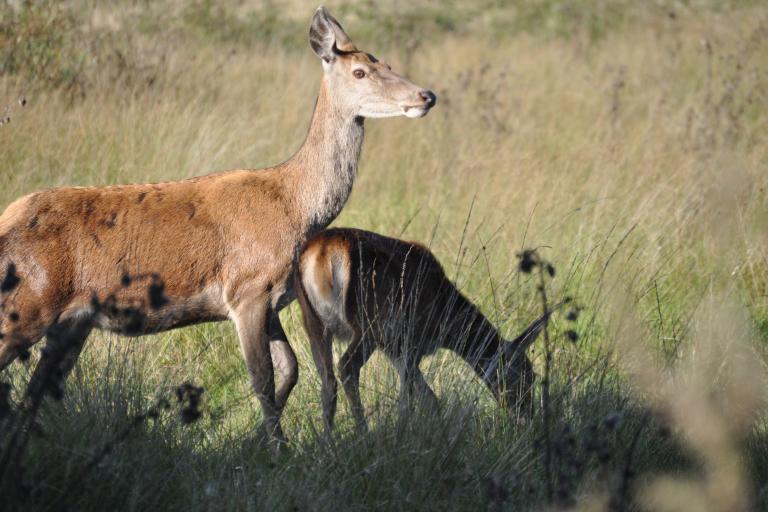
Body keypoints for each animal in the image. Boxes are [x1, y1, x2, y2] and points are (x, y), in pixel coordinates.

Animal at [0, 7, 436, 444]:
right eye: (360, 71)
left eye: (388, 64)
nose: (426, 96)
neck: (294, 206)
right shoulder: (247, 288)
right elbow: (262, 377)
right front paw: (277, 448)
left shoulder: (271, 298)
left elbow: (290, 368)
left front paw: (257, 441)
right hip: (28, 303)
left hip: (70, 324)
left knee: (35, 391)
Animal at [294, 228, 557, 437]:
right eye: (525, 375)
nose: (525, 418)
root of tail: (321, 253)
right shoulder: (410, 340)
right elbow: (409, 397)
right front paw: (404, 430)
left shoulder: (396, 349)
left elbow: (430, 398)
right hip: (369, 324)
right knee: (347, 366)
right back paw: (363, 433)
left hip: (313, 321)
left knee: (328, 381)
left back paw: (329, 442)